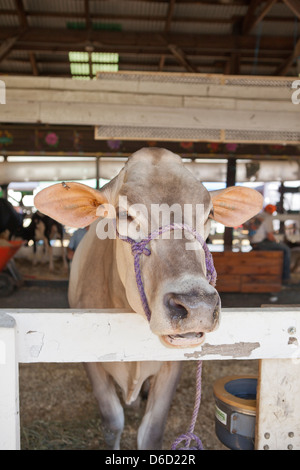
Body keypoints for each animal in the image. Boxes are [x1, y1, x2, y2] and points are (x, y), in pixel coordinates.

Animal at [34, 147, 262, 448]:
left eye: (209, 214)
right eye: (124, 215)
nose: (197, 306)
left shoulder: (172, 364)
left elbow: (151, 431)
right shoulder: (91, 362)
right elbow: (112, 421)